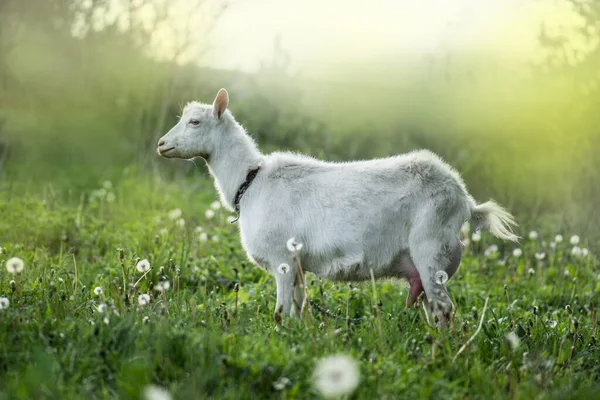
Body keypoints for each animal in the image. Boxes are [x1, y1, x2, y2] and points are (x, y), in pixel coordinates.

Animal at [157, 89, 516, 326]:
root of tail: (464, 199)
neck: (251, 180)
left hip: (431, 247)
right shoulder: (296, 264)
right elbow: (298, 309)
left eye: (194, 122)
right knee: (435, 308)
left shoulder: (280, 258)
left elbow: (280, 312)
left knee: (445, 310)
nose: (161, 144)